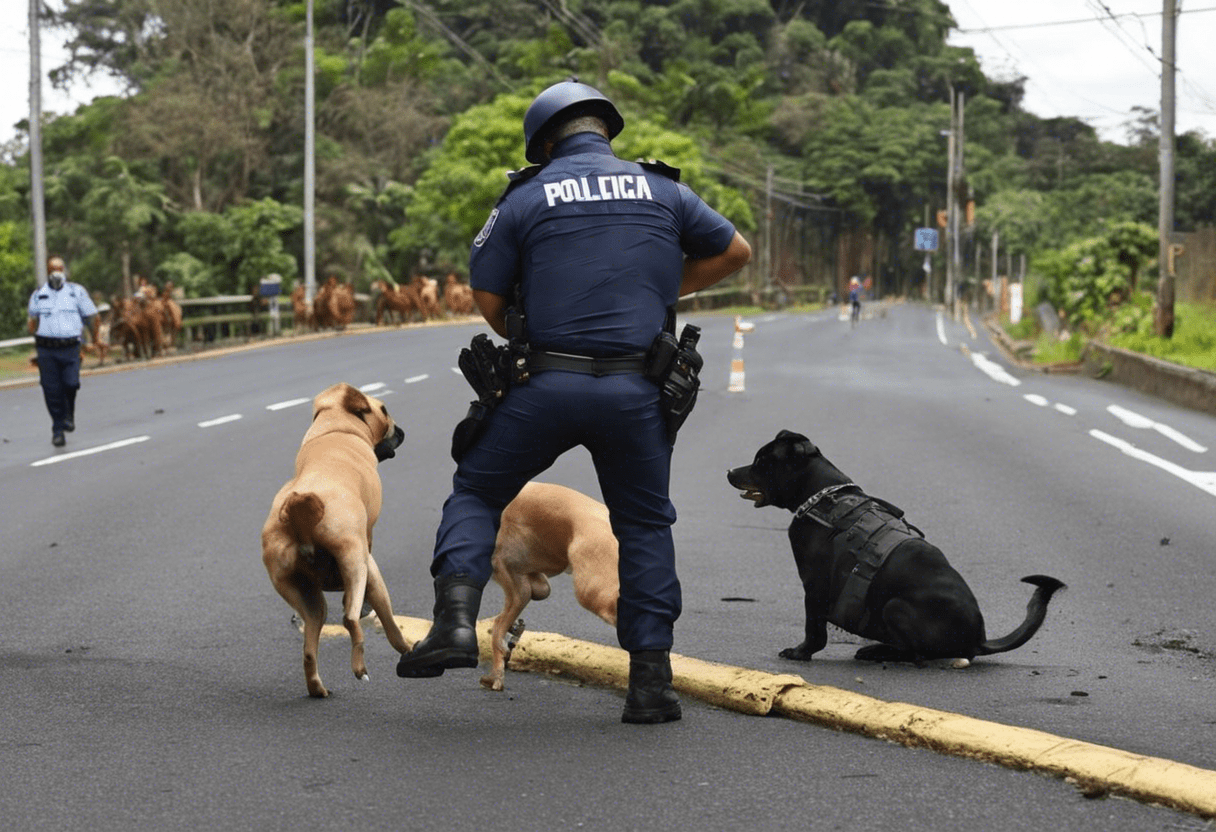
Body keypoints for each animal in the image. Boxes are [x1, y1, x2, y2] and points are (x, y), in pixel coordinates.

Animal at [259, 384, 411, 695]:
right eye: (384, 410)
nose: (401, 430)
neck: (336, 427)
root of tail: (299, 508)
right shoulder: (367, 550)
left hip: (308, 602)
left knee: (309, 649)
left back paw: (318, 689)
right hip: (360, 564)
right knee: (354, 619)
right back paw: (369, 665)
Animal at [724, 433, 1060, 666]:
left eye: (761, 462)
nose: (729, 472)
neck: (823, 497)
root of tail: (979, 639)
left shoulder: (814, 584)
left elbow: (814, 629)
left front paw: (800, 653)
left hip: (894, 606)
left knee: (916, 654)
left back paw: (876, 650)